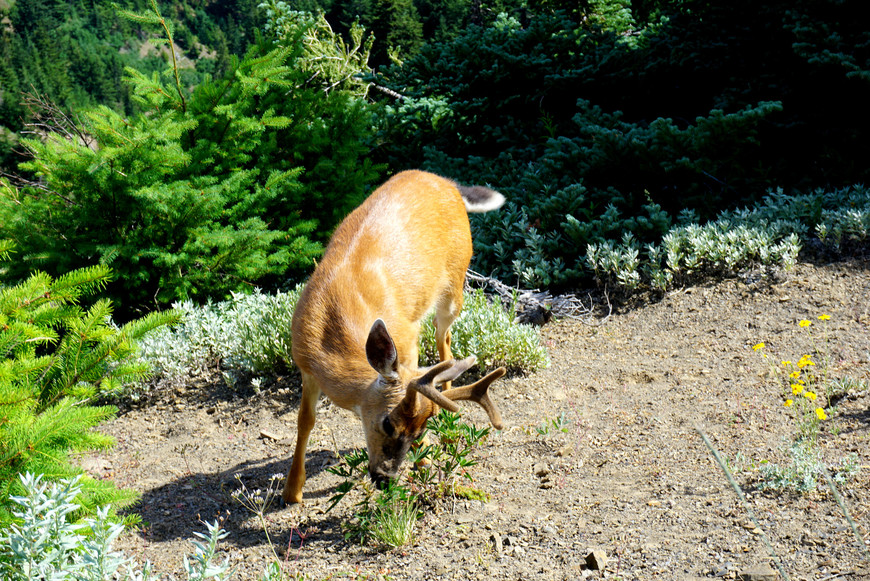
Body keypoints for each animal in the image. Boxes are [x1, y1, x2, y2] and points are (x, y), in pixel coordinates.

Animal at [282, 169, 508, 502]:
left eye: (419, 430)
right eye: (387, 423)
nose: (384, 479)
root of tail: (447, 183)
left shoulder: (408, 343)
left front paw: (424, 461)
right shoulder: (305, 364)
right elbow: (304, 421)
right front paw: (292, 490)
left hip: (456, 282)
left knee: (445, 337)